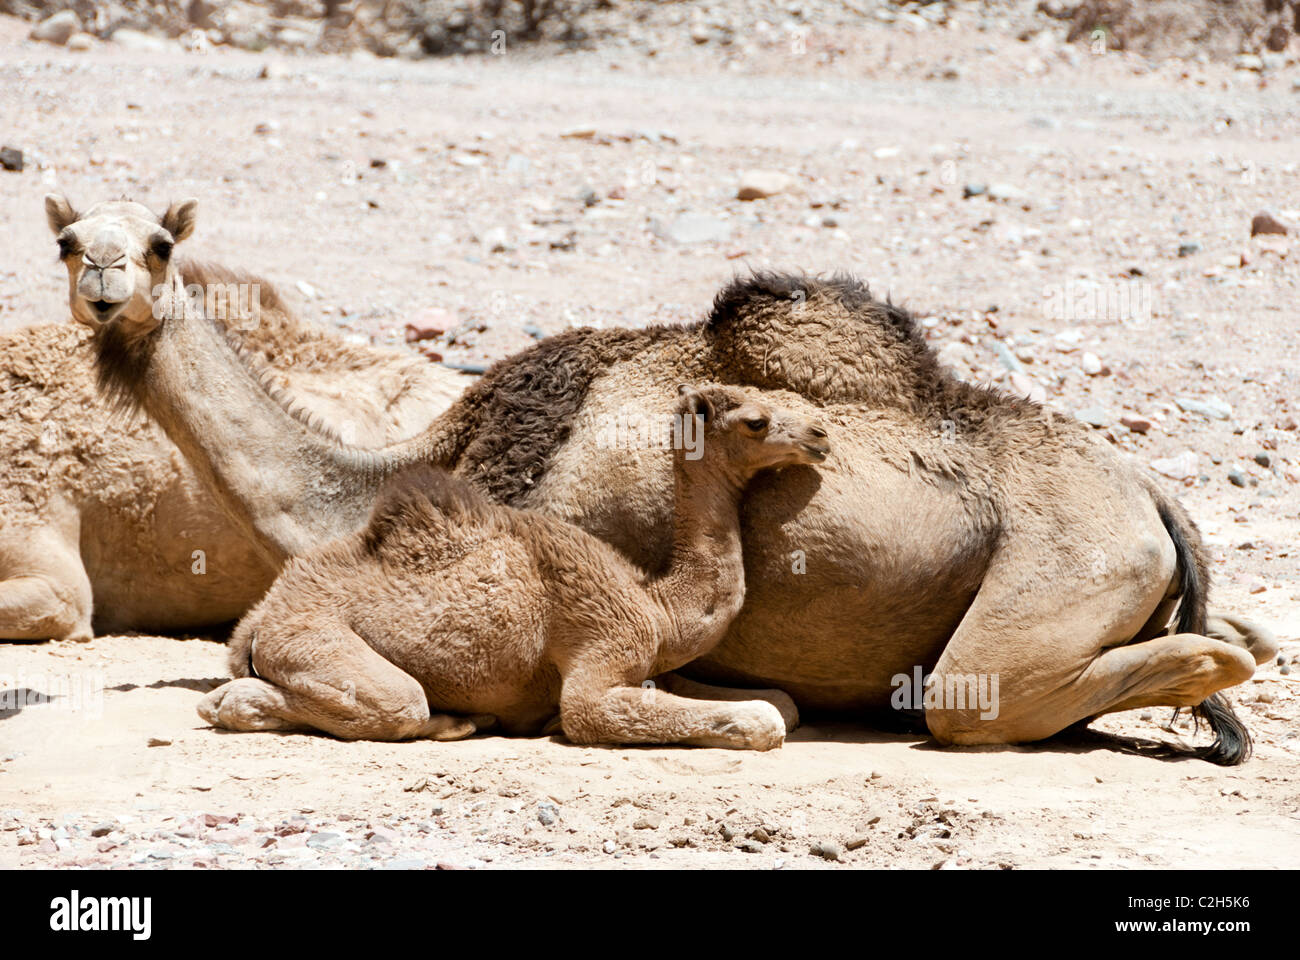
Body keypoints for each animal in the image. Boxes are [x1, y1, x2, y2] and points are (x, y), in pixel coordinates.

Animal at [200, 382, 832, 749]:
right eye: (755, 420)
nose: (821, 434)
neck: (656, 605)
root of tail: (257, 623)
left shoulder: (651, 660)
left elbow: (785, 701)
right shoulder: (603, 641)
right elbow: (757, 716)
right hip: (310, 637)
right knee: (388, 702)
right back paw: (450, 722)